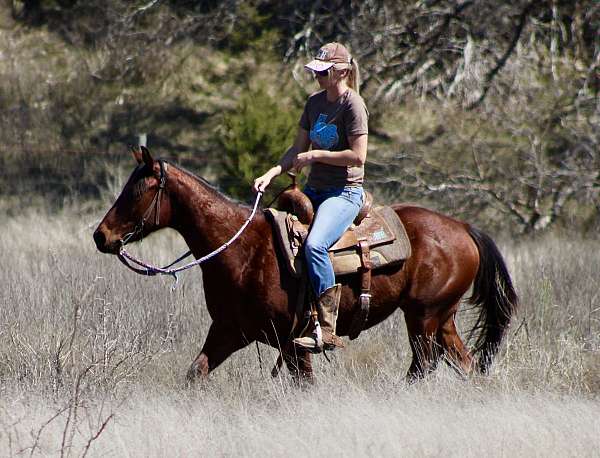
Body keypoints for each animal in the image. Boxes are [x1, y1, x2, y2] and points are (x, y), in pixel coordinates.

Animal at [92, 147, 516, 382]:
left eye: (138, 190)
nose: (101, 236)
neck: (242, 249)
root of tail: (462, 227)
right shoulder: (229, 332)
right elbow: (194, 374)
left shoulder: (293, 344)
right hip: (441, 319)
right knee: (464, 365)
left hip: (423, 317)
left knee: (423, 365)